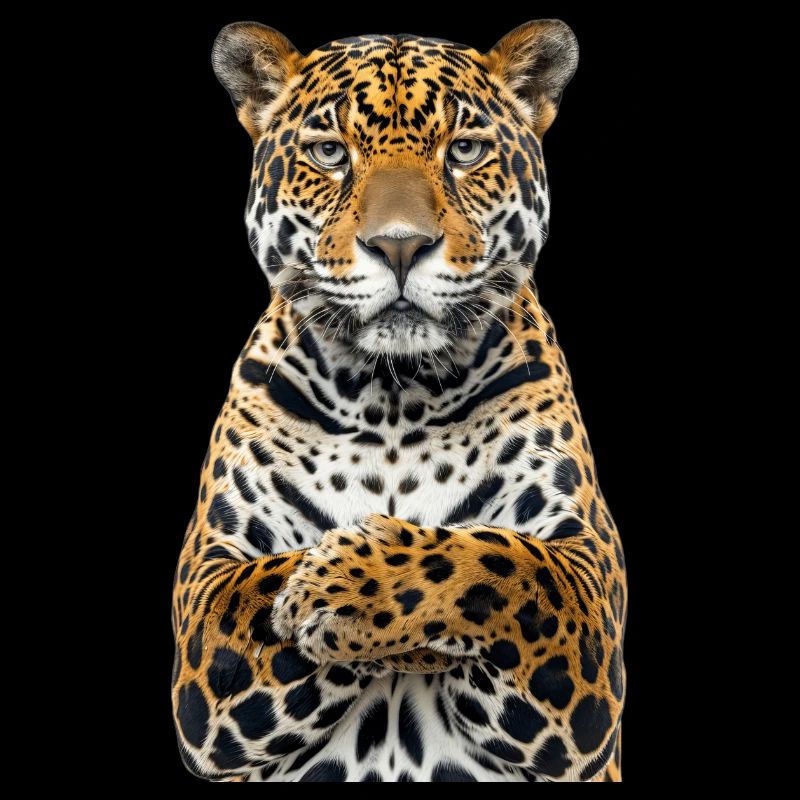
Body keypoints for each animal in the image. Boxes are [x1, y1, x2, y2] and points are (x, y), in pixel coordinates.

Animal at [171, 19, 627, 782]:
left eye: (464, 150)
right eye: (330, 153)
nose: (400, 246)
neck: (393, 395)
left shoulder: (591, 584)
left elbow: (496, 559)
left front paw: (338, 589)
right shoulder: (205, 597)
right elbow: (259, 587)